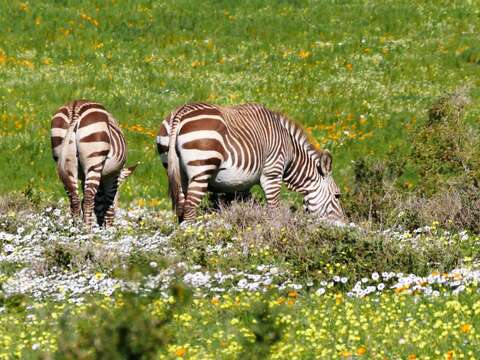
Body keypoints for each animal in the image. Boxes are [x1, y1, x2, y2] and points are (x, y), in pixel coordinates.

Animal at [50, 99, 136, 228]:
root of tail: (75, 111)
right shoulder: (112, 176)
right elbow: (107, 205)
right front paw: (108, 229)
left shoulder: (83, 177)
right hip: (94, 161)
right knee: (88, 200)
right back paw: (87, 230)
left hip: (65, 163)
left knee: (74, 200)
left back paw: (76, 229)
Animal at [158, 102, 344, 224]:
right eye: (337, 195)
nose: (344, 224)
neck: (290, 150)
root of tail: (180, 113)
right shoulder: (272, 174)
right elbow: (274, 209)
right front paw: (276, 233)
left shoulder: (241, 183)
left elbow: (242, 206)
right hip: (201, 170)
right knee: (189, 210)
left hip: (176, 172)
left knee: (181, 208)